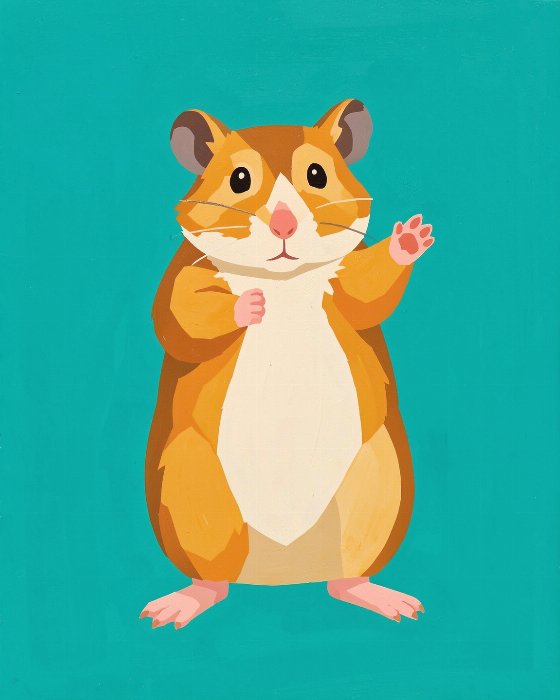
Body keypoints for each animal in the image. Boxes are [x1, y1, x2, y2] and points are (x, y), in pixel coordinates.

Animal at [141, 100, 434, 629]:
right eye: (238, 179)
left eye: (317, 174)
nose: (283, 226)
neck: (282, 279)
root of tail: (281, 573)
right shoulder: (183, 277)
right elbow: (182, 315)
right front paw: (252, 306)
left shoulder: (349, 281)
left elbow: (369, 291)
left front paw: (412, 236)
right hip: (193, 495)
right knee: (211, 579)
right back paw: (170, 610)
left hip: (378, 492)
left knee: (346, 578)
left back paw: (396, 604)